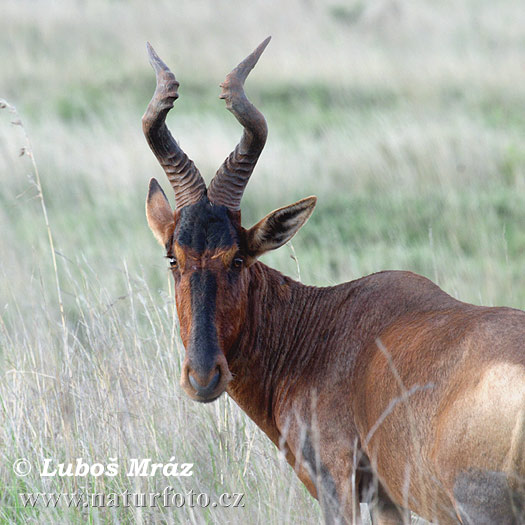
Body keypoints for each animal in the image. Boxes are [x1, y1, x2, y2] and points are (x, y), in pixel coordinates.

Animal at [141, 37, 524, 524]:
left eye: (238, 259)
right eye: (174, 257)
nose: (204, 376)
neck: (322, 326)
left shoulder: (335, 481)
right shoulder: (386, 496)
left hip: (482, 506)